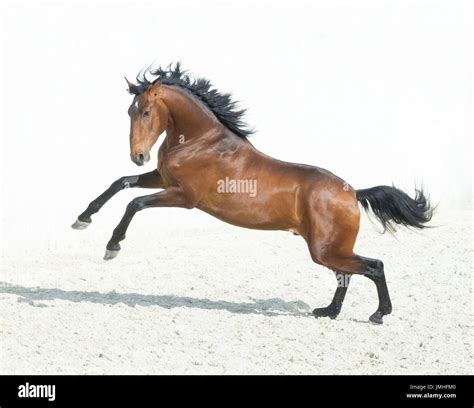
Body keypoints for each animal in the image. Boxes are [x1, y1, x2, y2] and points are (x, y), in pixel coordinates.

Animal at [71, 63, 434, 326]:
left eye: (146, 111)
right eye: (129, 112)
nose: (138, 156)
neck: (201, 141)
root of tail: (353, 193)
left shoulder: (185, 197)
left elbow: (135, 202)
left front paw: (112, 246)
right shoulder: (161, 177)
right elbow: (120, 183)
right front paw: (82, 219)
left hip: (326, 249)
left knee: (374, 266)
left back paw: (378, 315)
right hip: (327, 248)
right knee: (347, 274)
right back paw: (327, 312)